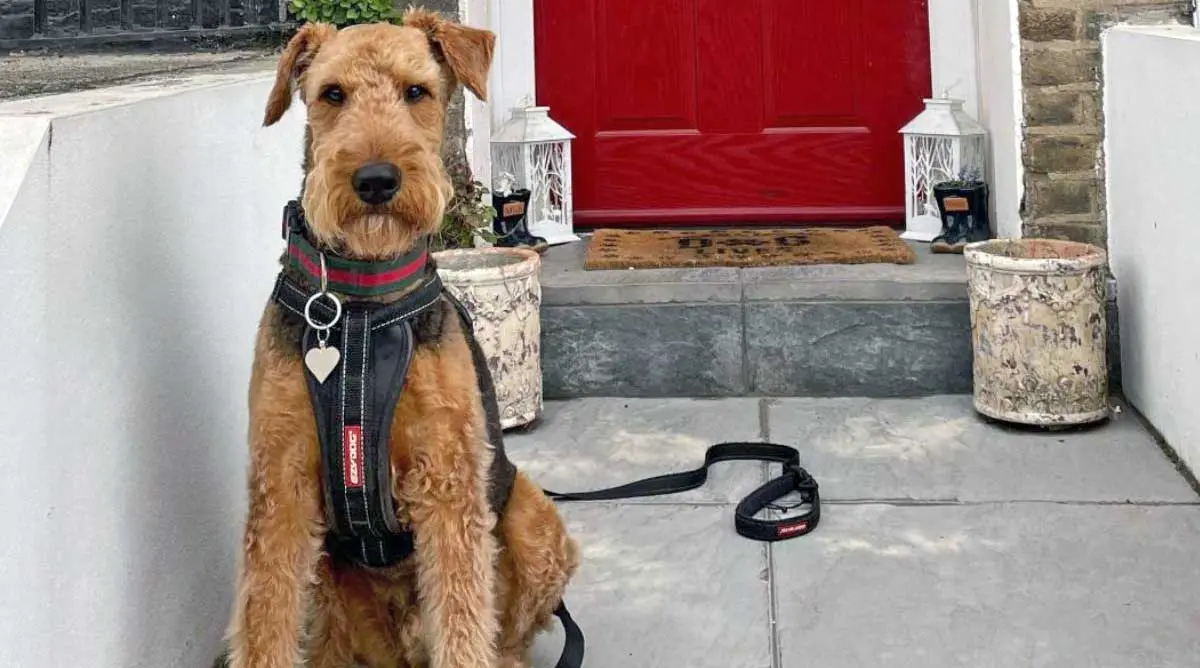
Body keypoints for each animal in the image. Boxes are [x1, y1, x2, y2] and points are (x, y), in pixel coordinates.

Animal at [226, 11, 583, 666]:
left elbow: (464, 618)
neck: (359, 308)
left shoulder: (447, 478)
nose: (375, 179)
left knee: (508, 632)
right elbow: (266, 617)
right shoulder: (281, 479)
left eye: (416, 91)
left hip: (532, 514)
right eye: (331, 94)